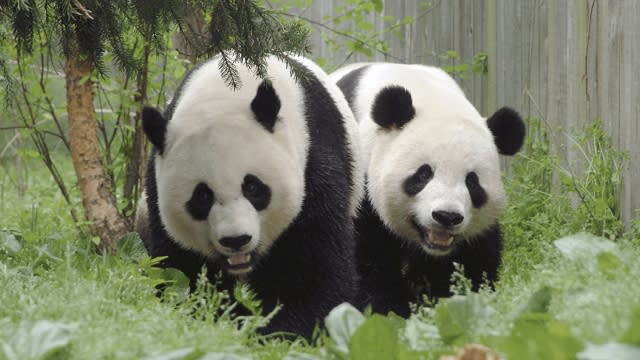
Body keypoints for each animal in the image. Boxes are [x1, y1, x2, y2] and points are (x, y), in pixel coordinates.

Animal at [136, 54, 362, 340]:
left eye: (253, 188)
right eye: (202, 197)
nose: (236, 240)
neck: (227, 90)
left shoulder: (313, 159)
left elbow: (310, 265)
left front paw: (284, 330)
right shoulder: (156, 184)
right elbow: (183, 267)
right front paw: (219, 319)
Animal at [330, 63, 524, 316]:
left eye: (472, 182)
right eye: (424, 174)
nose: (447, 216)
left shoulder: (476, 235)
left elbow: (475, 262)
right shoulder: (361, 185)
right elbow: (367, 263)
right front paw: (391, 311)